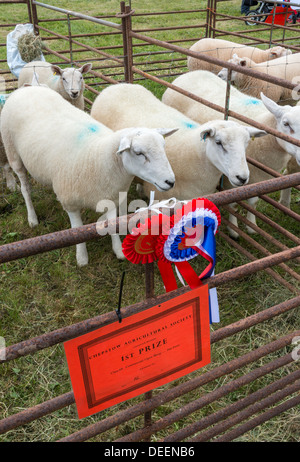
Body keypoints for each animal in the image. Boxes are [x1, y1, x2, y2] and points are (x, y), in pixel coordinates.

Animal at [1, 86, 177, 266]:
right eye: (138, 152)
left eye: (163, 146)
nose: (170, 181)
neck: (98, 156)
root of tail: (27, 88)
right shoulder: (70, 201)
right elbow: (76, 231)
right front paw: (82, 257)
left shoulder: (111, 196)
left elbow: (112, 224)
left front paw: (118, 250)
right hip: (13, 153)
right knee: (25, 189)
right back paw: (32, 218)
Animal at [162, 70, 300, 236]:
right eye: (286, 124)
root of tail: (192, 72)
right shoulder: (231, 180)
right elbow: (233, 203)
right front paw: (233, 230)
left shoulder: (259, 180)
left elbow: (253, 202)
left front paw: (251, 226)